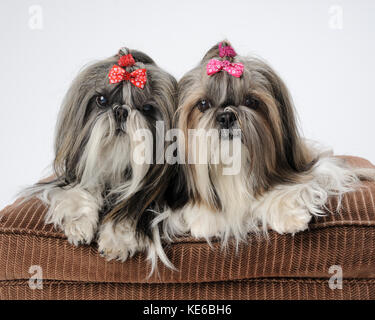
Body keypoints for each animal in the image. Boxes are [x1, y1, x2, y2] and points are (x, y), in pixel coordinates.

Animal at [20, 47, 179, 270]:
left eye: (147, 109)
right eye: (101, 100)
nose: (120, 111)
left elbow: (130, 211)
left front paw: (116, 241)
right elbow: (78, 193)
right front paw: (79, 224)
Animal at [163, 40, 375, 245]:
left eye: (251, 101)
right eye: (203, 104)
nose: (226, 117)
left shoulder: (318, 169)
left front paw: (288, 215)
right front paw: (206, 218)